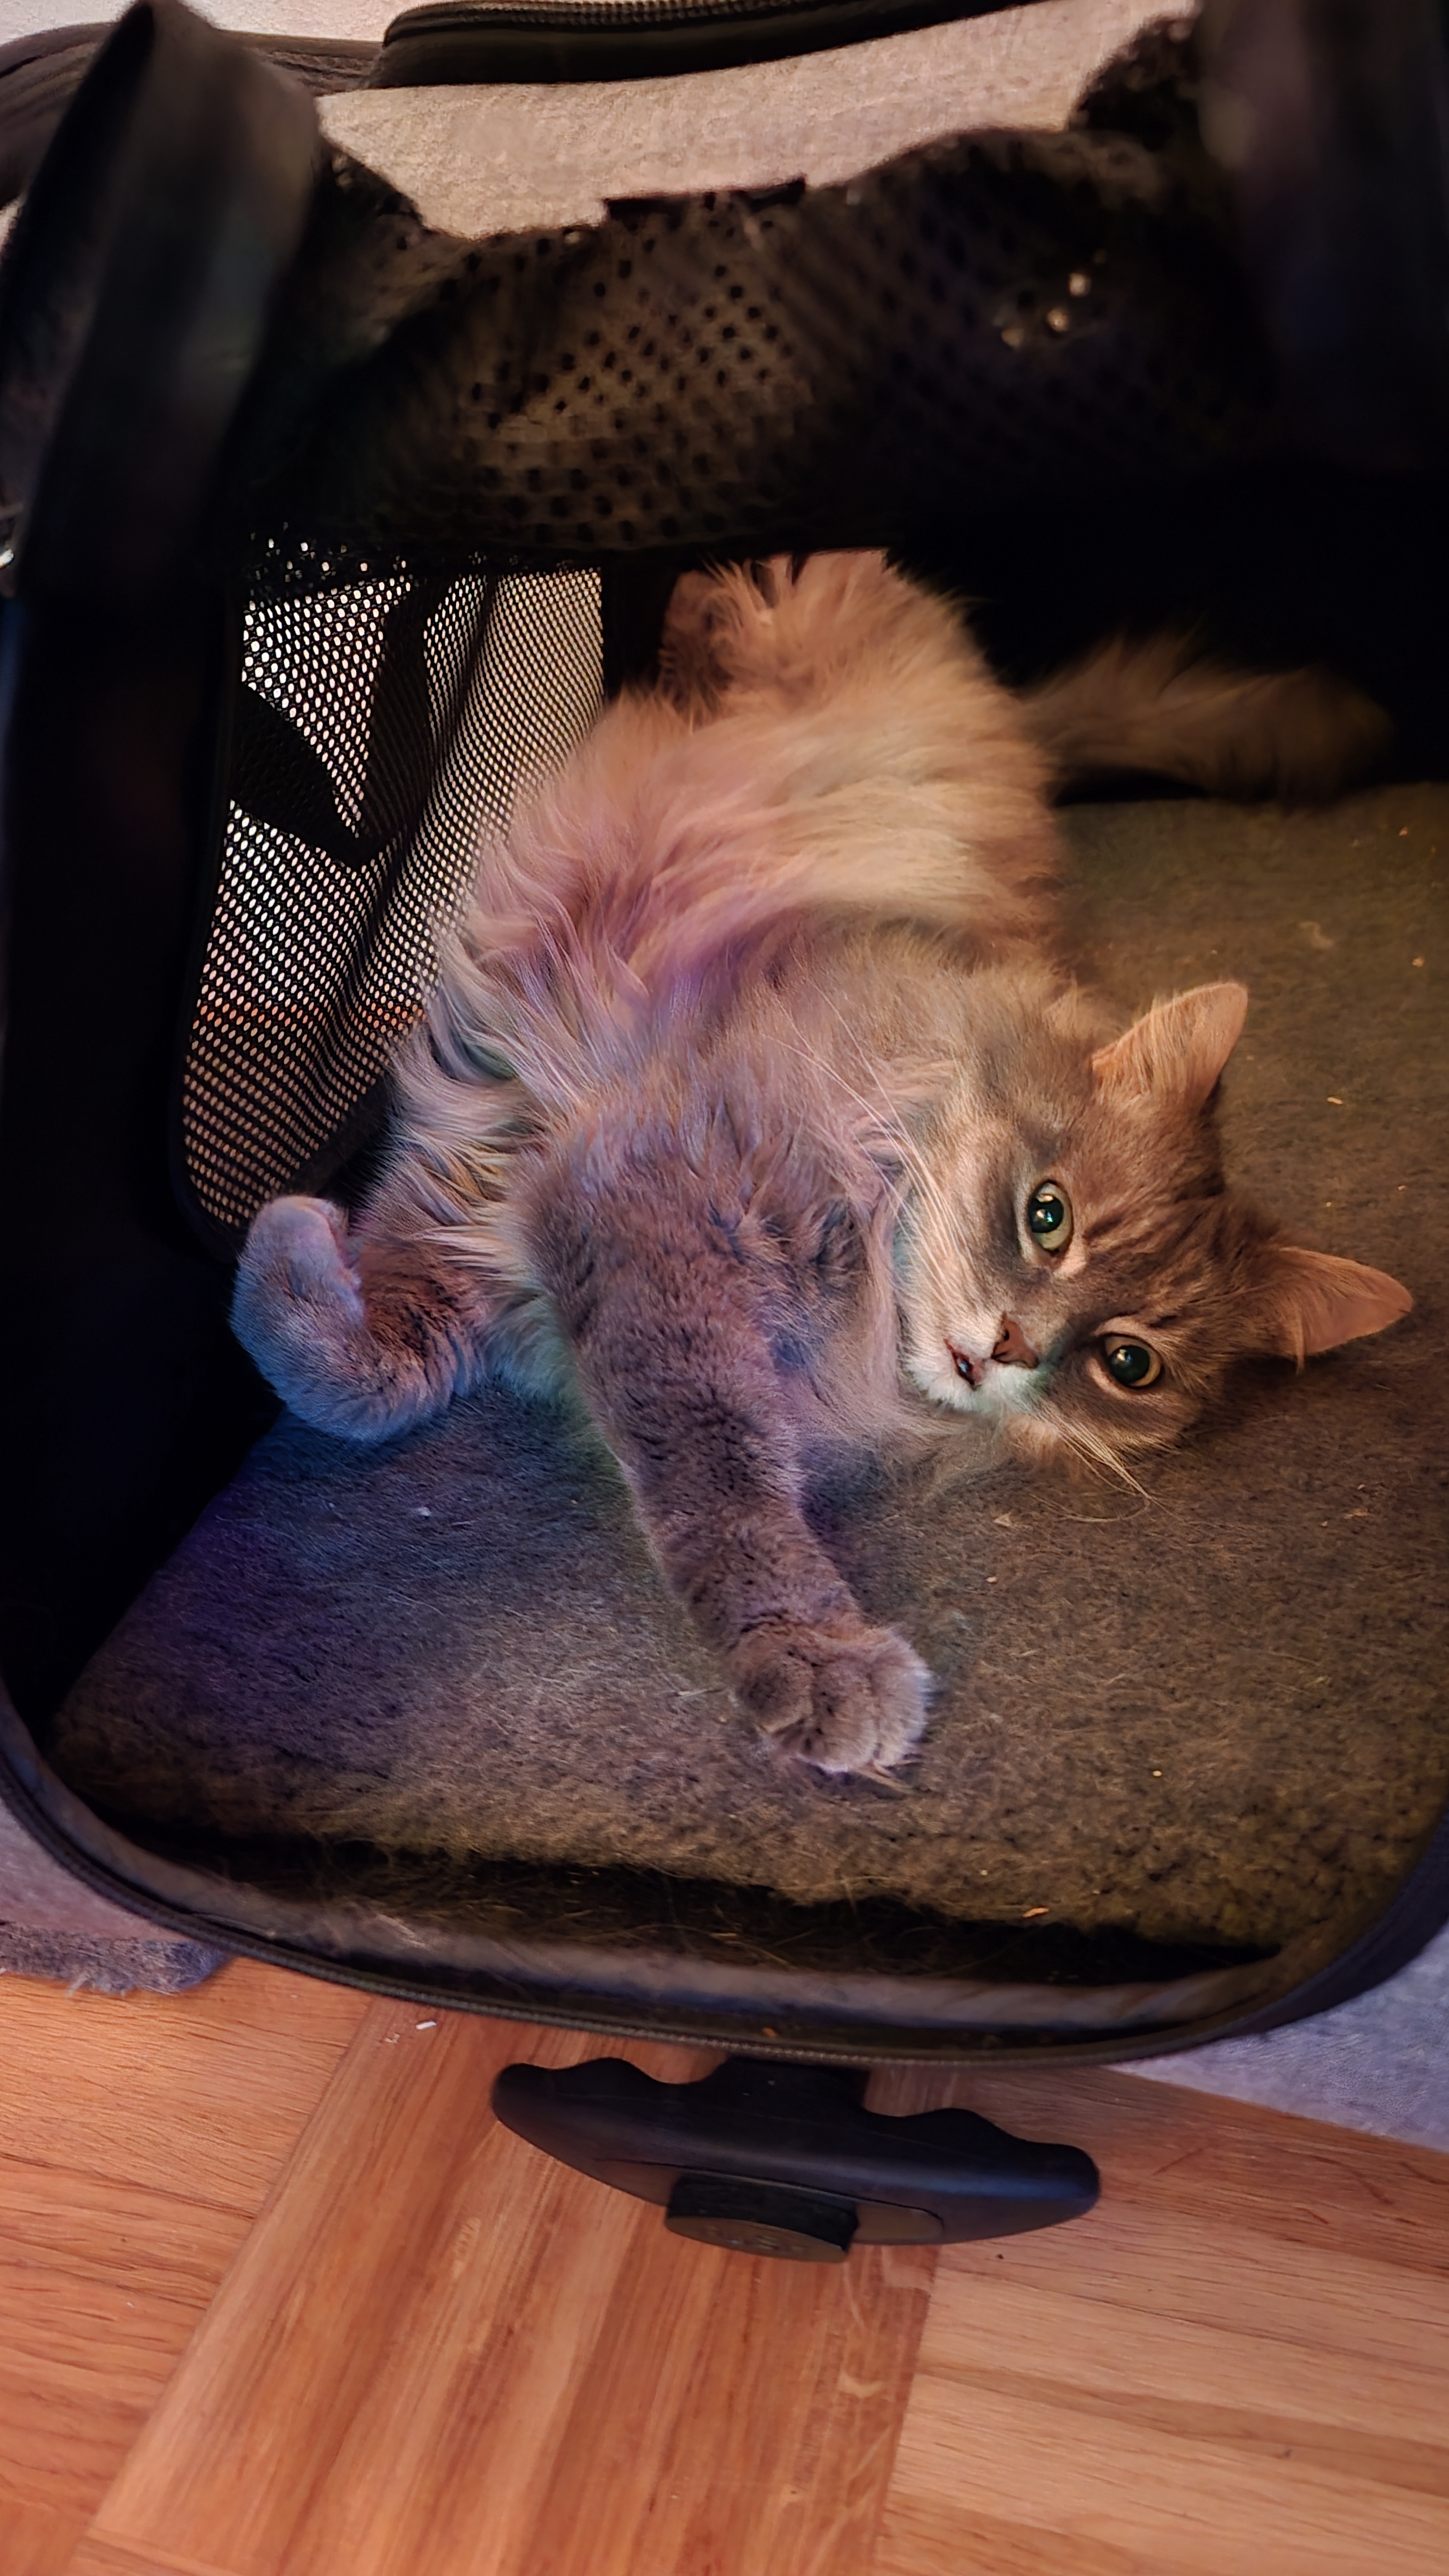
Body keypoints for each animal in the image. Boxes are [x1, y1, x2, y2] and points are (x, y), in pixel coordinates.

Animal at [231, 554, 1402, 1783]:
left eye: (1129, 1365)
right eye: (1048, 1215)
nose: (1010, 1350)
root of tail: (1003, 709)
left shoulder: (509, 1209)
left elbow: (352, 1366)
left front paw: (297, 1241)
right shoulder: (627, 1209)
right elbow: (714, 1485)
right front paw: (818, 1655)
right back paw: (690, 637)